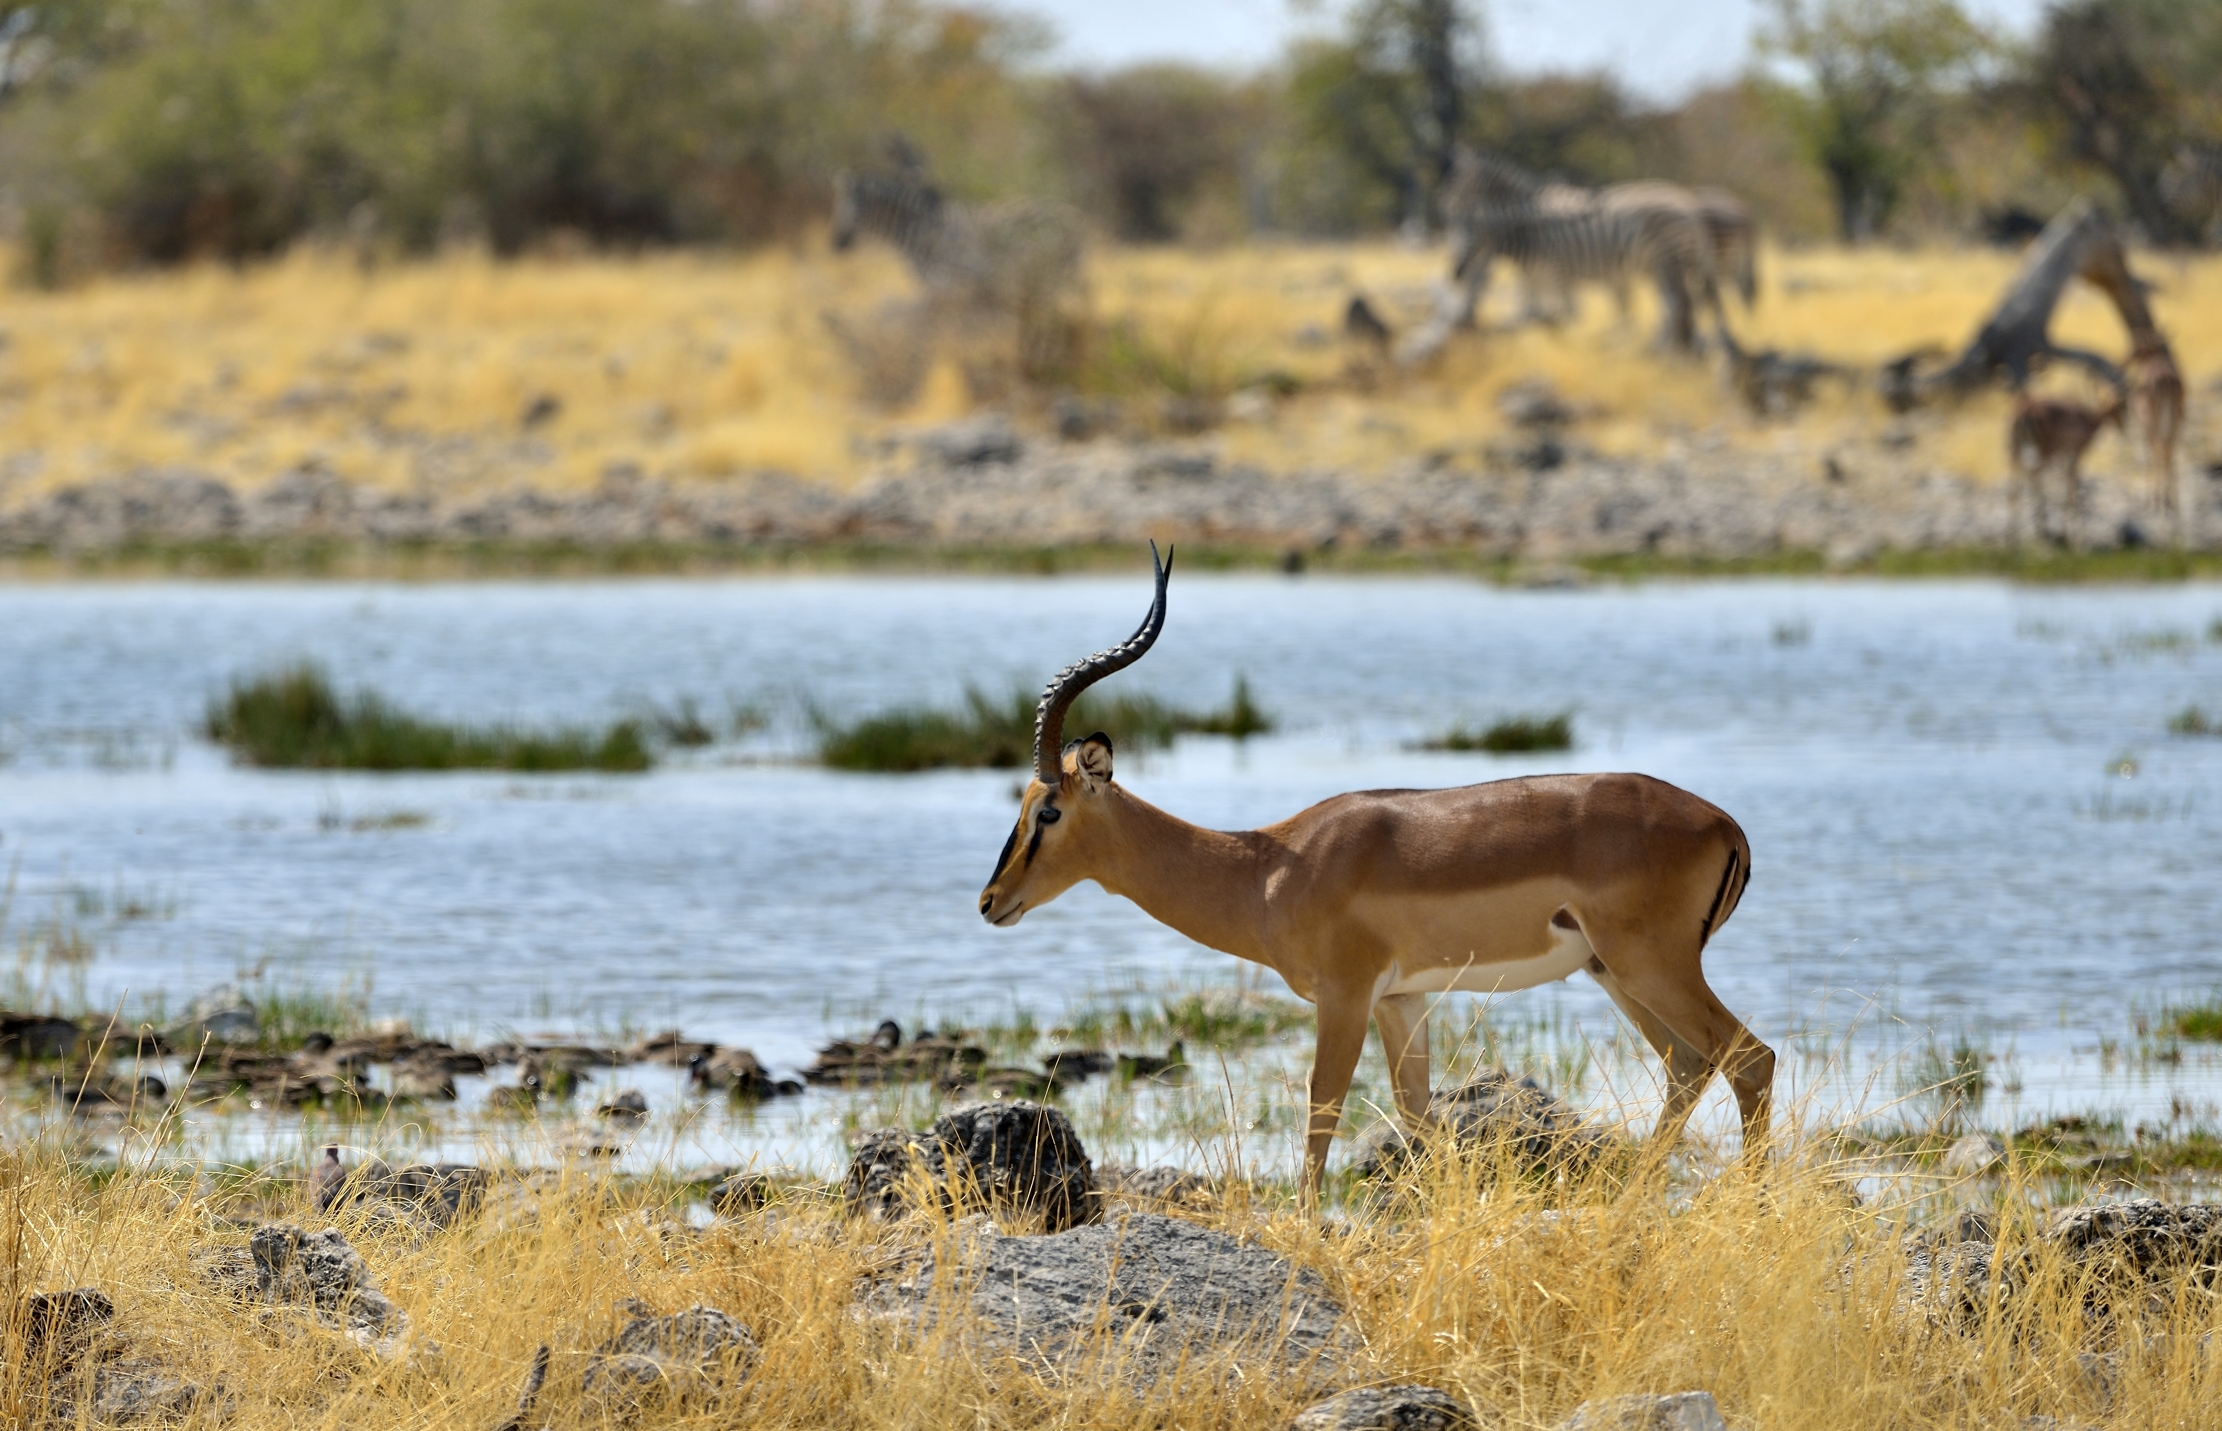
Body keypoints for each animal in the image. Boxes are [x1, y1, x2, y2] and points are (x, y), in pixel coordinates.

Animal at [978, 546, 1773, 1197]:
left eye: (1048, 810)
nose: (990, 901)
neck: (1268, 867)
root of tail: (1725, 823)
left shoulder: (1346, 994)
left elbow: (1321, 1105)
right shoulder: (1402, 999)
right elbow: (1419, 1118)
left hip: (1652, 965)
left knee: (1750, 1058)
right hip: (1615, 972)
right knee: (1688, 1066)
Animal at [2007, 391, 2123, 549]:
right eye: (2122, 405)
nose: (2123, 426)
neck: (2090, 421)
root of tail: (2024, 411)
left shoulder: (2063, 458)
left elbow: (2066, 489)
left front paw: (2065, 535)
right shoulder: (2075, 455)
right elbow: (2073, 488)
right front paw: (2078, 540)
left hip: (2016, 455)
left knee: (2016, 487)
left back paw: (2014, 540)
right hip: (2043, 454)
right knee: (2031, 476)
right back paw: (2042, 531)